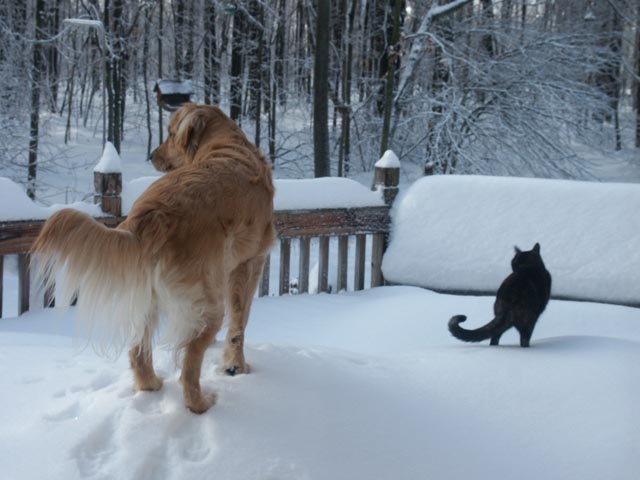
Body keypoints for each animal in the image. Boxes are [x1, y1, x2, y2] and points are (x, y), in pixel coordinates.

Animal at [33, 104, 276, 412]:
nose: (152, 155)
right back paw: (201, 404)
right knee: (188, 367)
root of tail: (151, 214)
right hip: (208, 301)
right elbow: (239, 323)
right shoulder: (251, 262)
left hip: (149, 296)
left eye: (170, 134)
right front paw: (236, 367)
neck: (226, 145)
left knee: (138, 351)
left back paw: (151, 385)